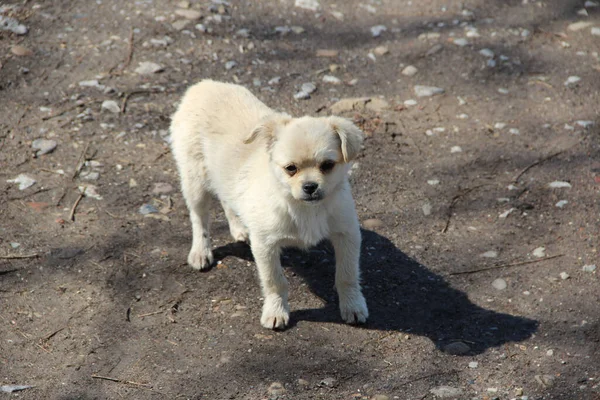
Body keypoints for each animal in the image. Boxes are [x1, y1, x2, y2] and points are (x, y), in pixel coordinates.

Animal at [170, 79, 370, 330]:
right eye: (291, 168)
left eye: (327, 165)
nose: (310, 186)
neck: (305, 209)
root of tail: (203, 85)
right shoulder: (265, 245)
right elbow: (275, 281)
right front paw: (276, 311)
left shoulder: (347, 235)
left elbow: (347, 275)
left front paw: (353, 305)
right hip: (194, 182)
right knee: (199, 218)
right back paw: (200, 252)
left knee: (227, 201)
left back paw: (239, 228)